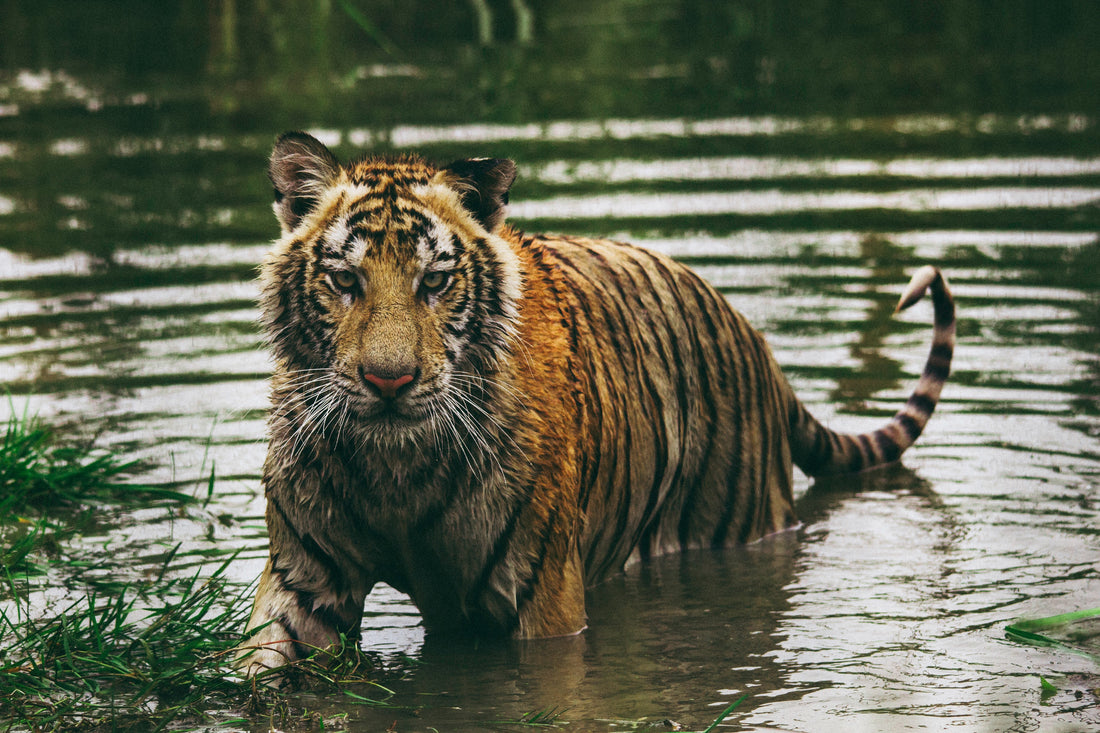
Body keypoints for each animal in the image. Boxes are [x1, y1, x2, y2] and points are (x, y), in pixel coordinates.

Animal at [238, 129, 954, 673]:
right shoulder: (304, 579)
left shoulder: (541, 596)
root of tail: (759, 345)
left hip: (739, 524)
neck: (395, 470)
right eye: (344, 280)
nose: (390, 381)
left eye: (435, 282)